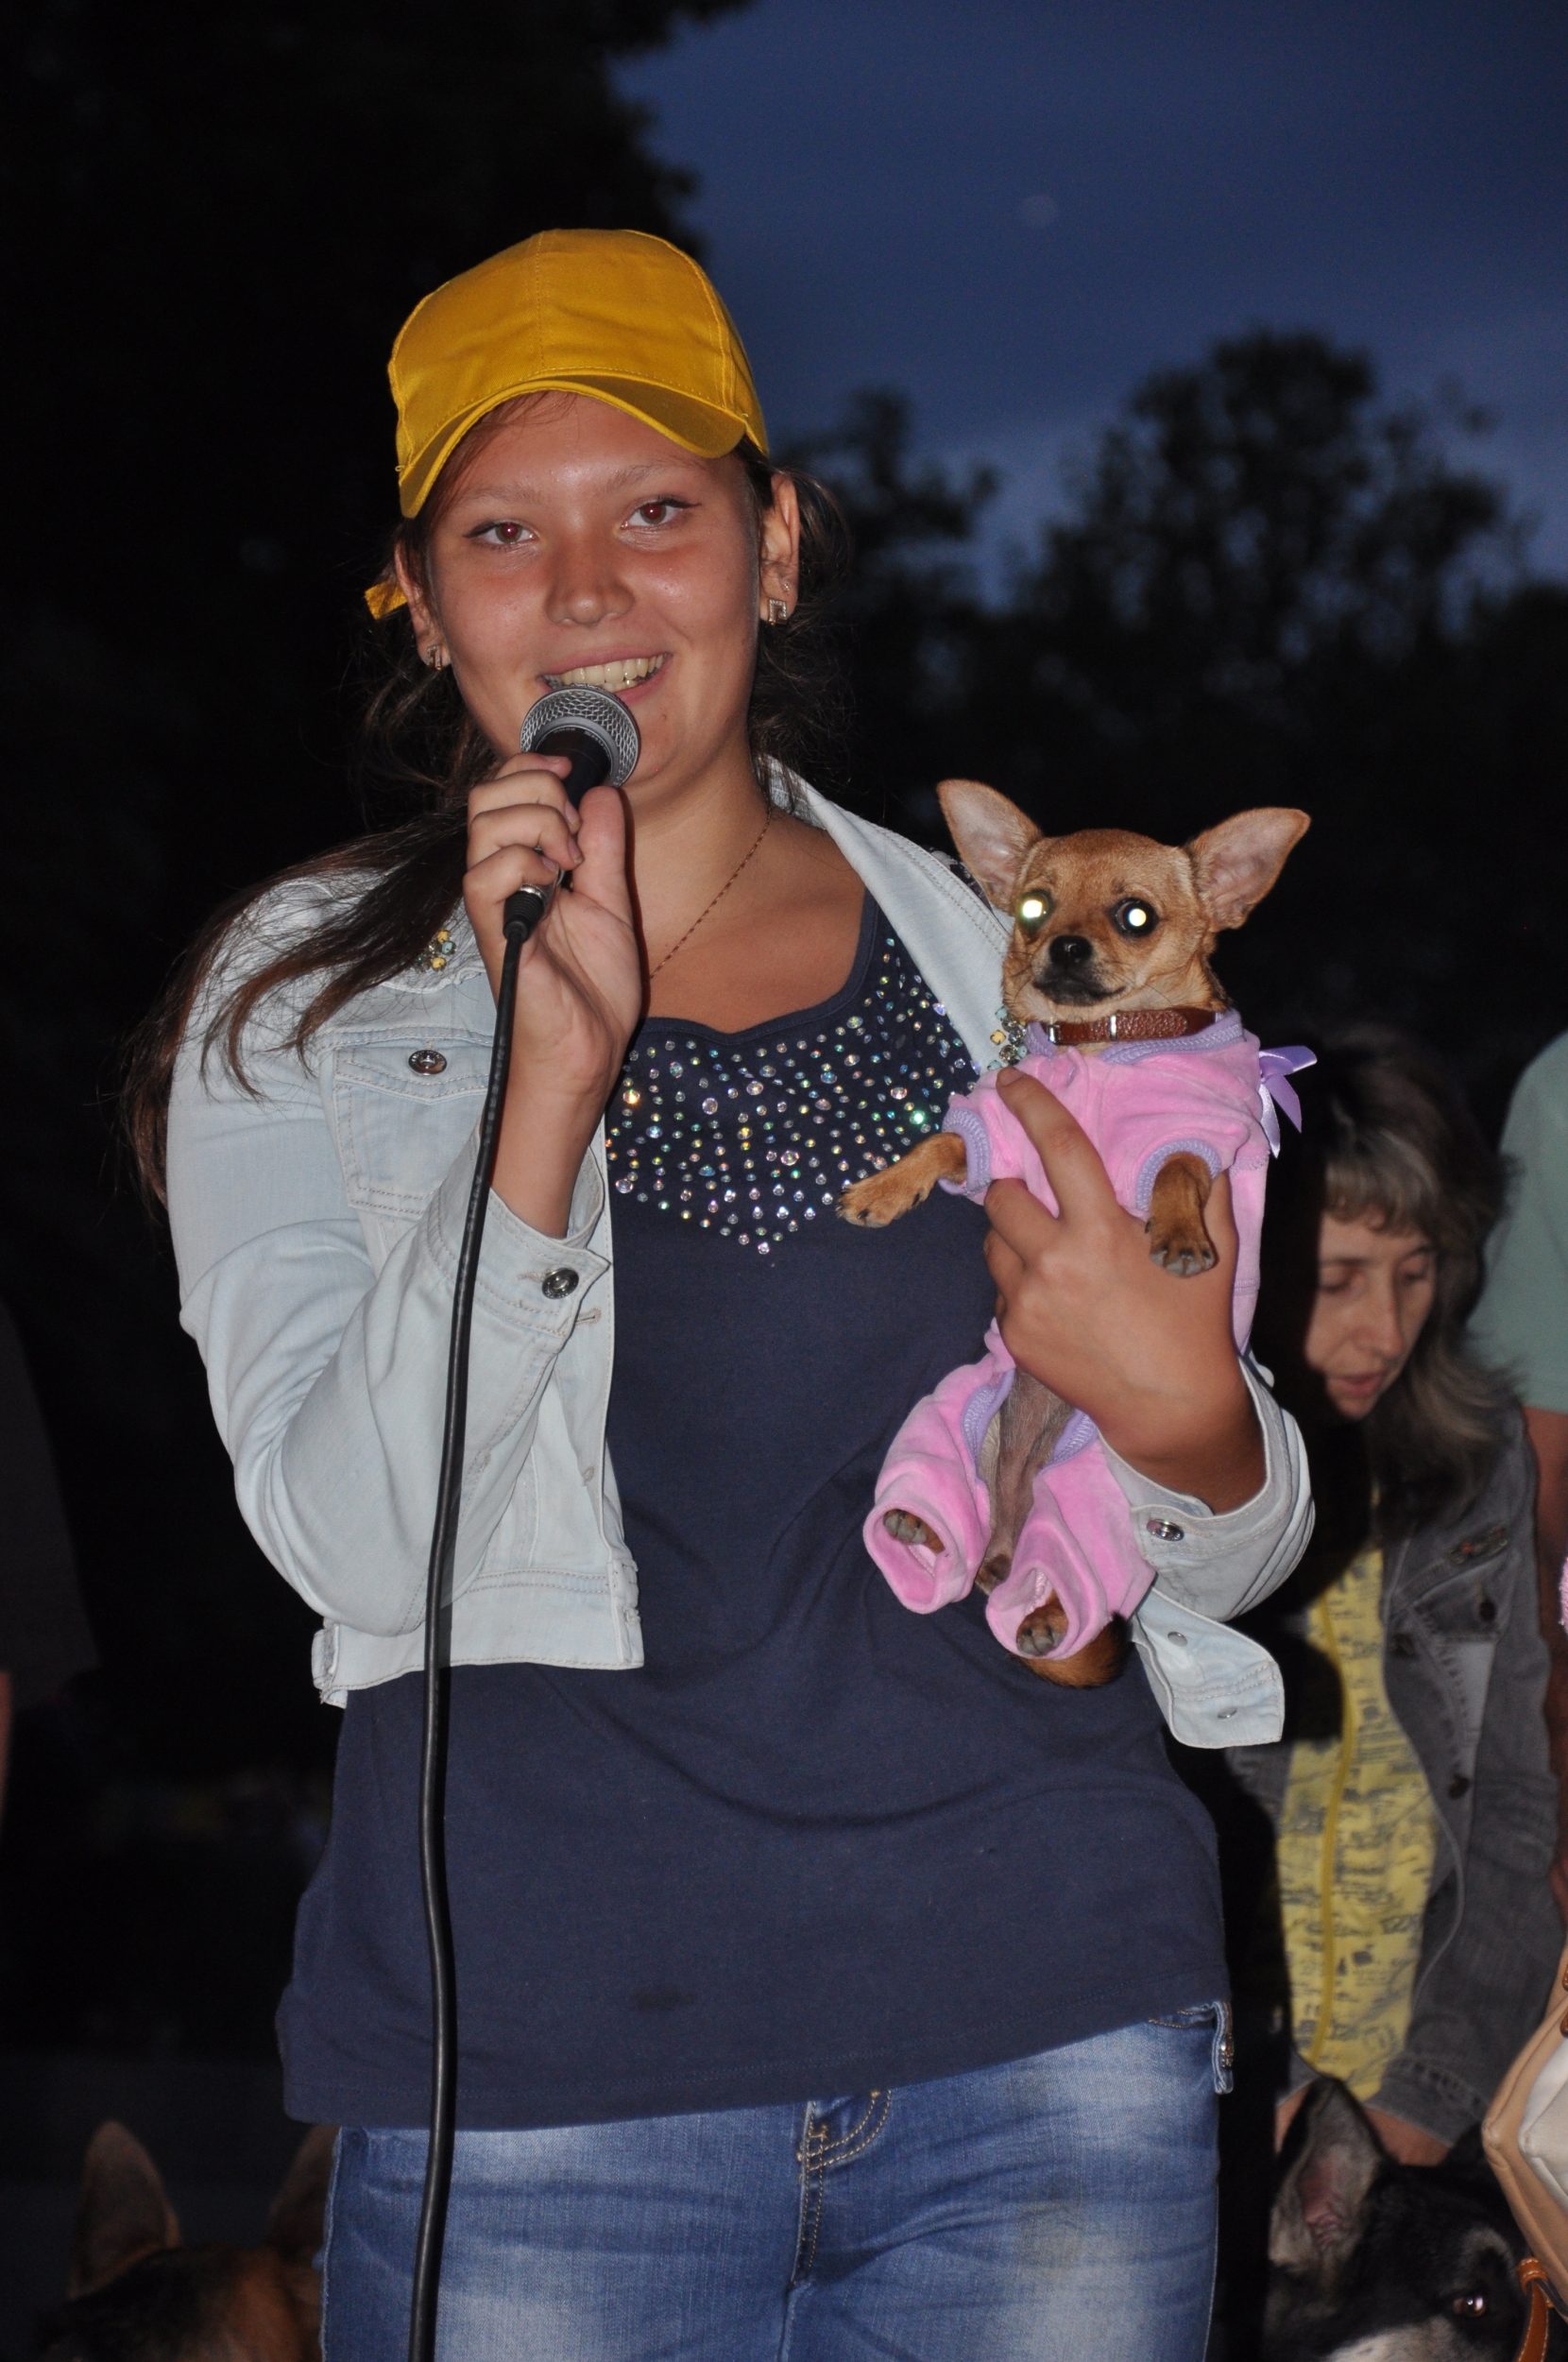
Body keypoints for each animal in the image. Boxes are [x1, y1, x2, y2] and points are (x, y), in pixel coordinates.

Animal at [840, 778, 1309, 1685]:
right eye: (1032, 906)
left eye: (1135, 917)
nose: (1060, 946)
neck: (1104, 1047)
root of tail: (1006, 1536)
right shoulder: (999, 1136)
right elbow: (944, 1142)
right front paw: (885, 1188)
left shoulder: (1198, 1134)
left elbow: (1175, 1170)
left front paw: (1177, 1237)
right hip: (952, 1420)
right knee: (945, 1502)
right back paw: (924, 1528)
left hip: (1095, 1502)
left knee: (1065, 1582)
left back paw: (1046, 1613)